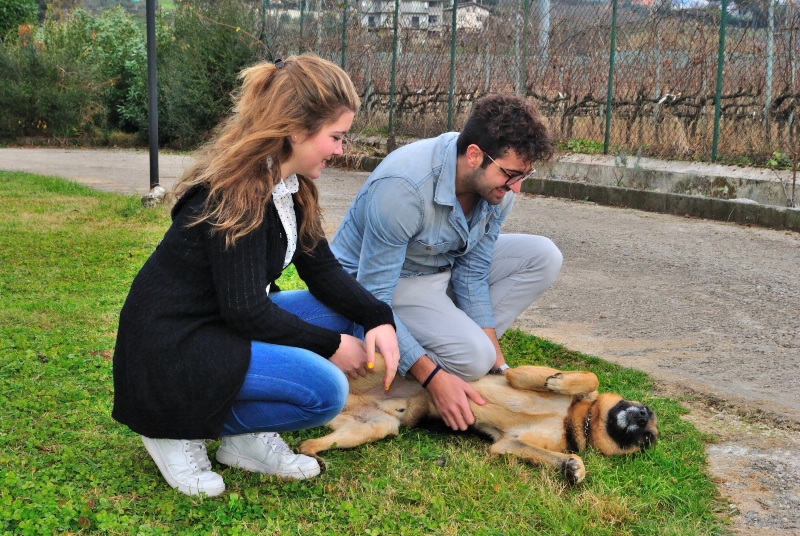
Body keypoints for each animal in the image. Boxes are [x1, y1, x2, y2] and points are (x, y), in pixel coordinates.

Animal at [300, 356, 656, 486]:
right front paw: (561, 382)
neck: (576, 420)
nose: (642, 416)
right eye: (647, 413)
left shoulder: (508, 444)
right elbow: (590, 378)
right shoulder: (518, 375)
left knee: (307, 441)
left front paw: (573, 467)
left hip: (373, 427)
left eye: (648, 440)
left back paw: (313, 457)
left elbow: (562, 456)